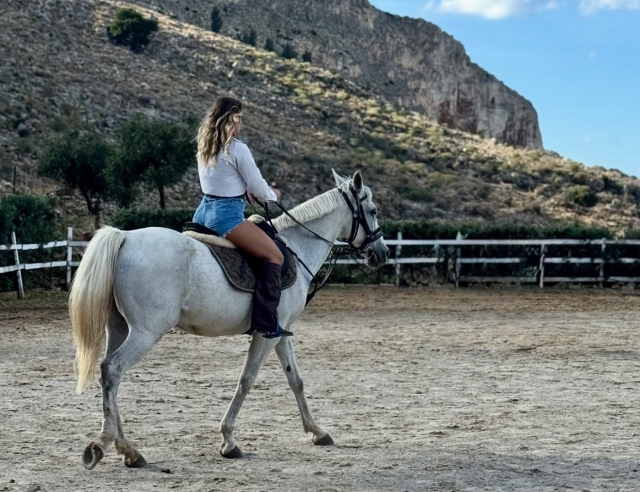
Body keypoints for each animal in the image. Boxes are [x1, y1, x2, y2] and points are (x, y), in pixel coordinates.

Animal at [71, 170, 389, 470]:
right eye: (373, 210)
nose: (382, 253)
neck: (296, 248)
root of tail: (125, 237)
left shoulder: (280, 332)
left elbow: (295, 380)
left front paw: (317, 431)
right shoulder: (266, 334)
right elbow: (246, 380)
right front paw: (228, 440)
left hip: (119, 328)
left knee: (108, 373)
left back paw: (125, 450)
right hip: (146, 332)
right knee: (113, 369)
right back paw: (117, 446)